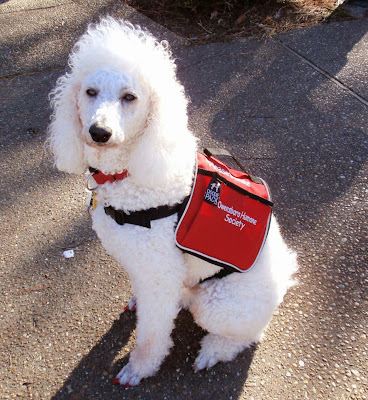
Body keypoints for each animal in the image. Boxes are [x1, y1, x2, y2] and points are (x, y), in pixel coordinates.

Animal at [47, 17, 298, 386]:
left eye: (129, 97)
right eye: (90, 92)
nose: (99, 133)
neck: (128, 170)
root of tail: (284, 275)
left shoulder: (158, 273)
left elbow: (152, 333)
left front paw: (140, 368)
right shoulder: (148, 269)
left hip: (220, 303)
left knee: (246, 335)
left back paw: (213, 351)